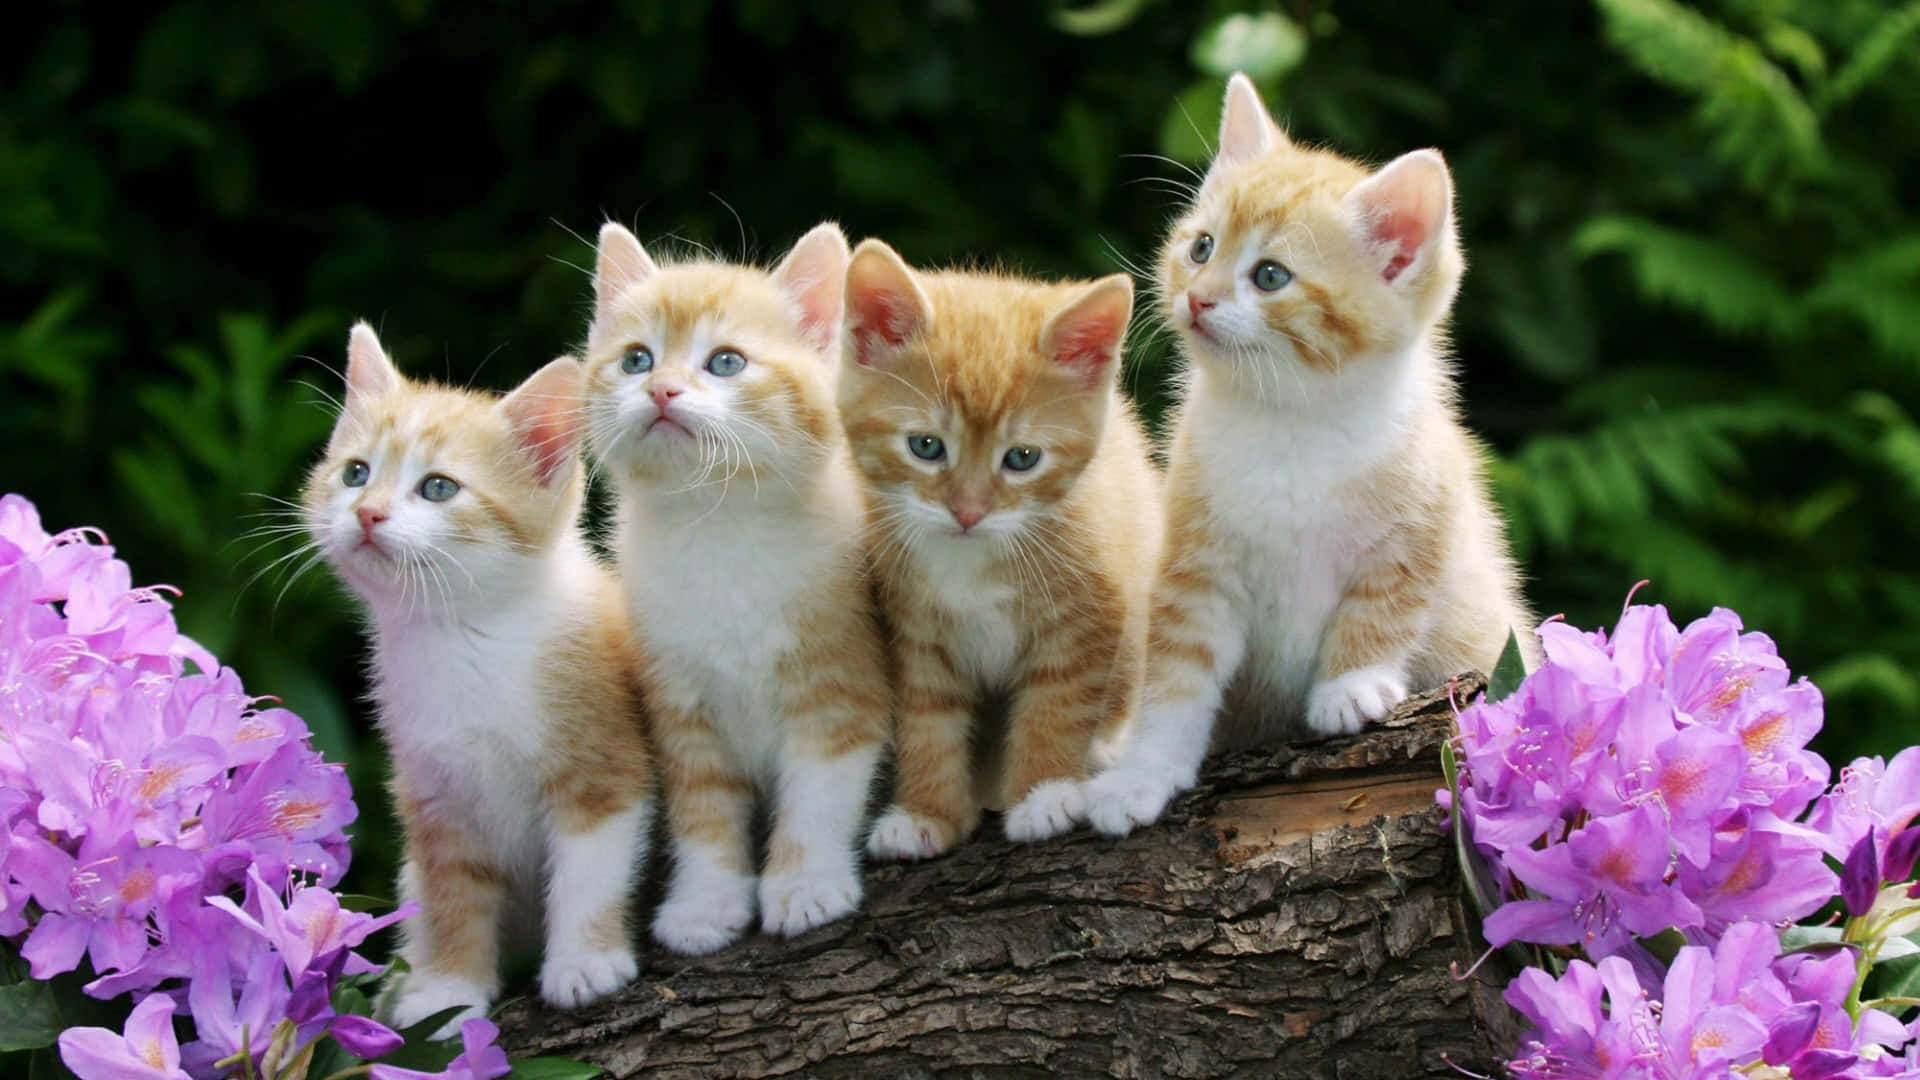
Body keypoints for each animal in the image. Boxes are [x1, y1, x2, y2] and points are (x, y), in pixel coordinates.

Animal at [299, 326, 656, 1022]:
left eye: (439, 488)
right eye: (356, 473)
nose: (368, 513)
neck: (464, 638)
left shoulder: (603, 763)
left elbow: (589, 871)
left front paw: (585, 961)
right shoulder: (435, 794)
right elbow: (450, 894)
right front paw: (446, 993)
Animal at [583, 219, 890, 949]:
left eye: (725, 362)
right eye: (636, 360)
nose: (661, 389)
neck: (715, 526)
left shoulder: (841, 681)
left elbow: (818, 794)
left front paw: (805, 885)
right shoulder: (678, 702)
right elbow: (703, 813)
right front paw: (705, 904)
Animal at [837, 242, 1152, 857]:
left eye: (1023, 458)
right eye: (926, 446)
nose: (968, 511)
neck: (971, 560)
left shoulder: (1089, 615)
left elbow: (1058, 704)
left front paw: (1044, 794)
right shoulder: (914, 629)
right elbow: (927, 719)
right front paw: (926, 812)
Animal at [1090, 73, 1536, 834]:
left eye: (1270, 276)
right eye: (1201, 248)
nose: (1197, 299)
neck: (1290, 423)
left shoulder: (1429, 507)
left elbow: (1389, 600)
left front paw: (1351, 685)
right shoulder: (1195, 562)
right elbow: (1175, 675)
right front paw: (1141, 773)